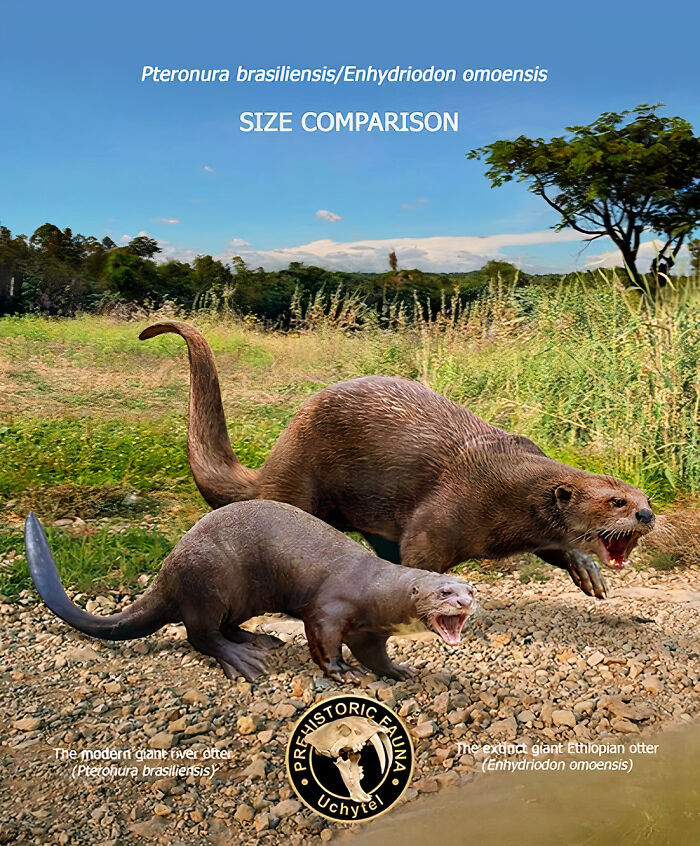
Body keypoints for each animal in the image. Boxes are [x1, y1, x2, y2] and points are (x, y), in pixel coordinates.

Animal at [24, 501, 475, 682]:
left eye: (468, 587)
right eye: (443, 592)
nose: (467, 600)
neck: (374, 588)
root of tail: (169, 570)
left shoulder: (371, 631)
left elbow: (375, 655)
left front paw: (398, 669)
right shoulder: (329, 609)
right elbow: (323, 641)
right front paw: (341, 671)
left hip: (241, 597)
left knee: (225, 626)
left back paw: (260, 640)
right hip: (207, 583)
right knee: (200, 634)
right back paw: (243, 660)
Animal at [139, 322, 656, 600]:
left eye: (642, 496)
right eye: (616, 502)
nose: (648, 515)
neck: (503, 485)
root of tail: (272, 465)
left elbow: (553, 545)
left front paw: (585, 569)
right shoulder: (447, 511)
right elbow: (422, 557)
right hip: (299, 484)